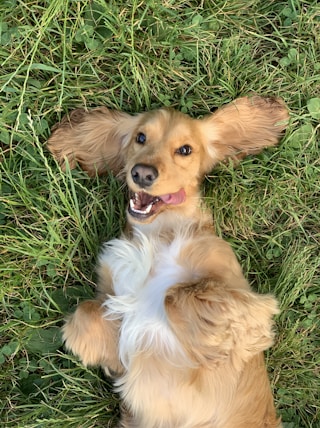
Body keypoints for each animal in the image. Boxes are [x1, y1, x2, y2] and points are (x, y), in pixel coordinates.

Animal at [47, 95, 288, 426]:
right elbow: (86, 311)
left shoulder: (249, 302)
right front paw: (103, 349)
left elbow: (176, 294)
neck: (158, 232)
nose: (142, 173)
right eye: (140, 138)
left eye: (185, 150)